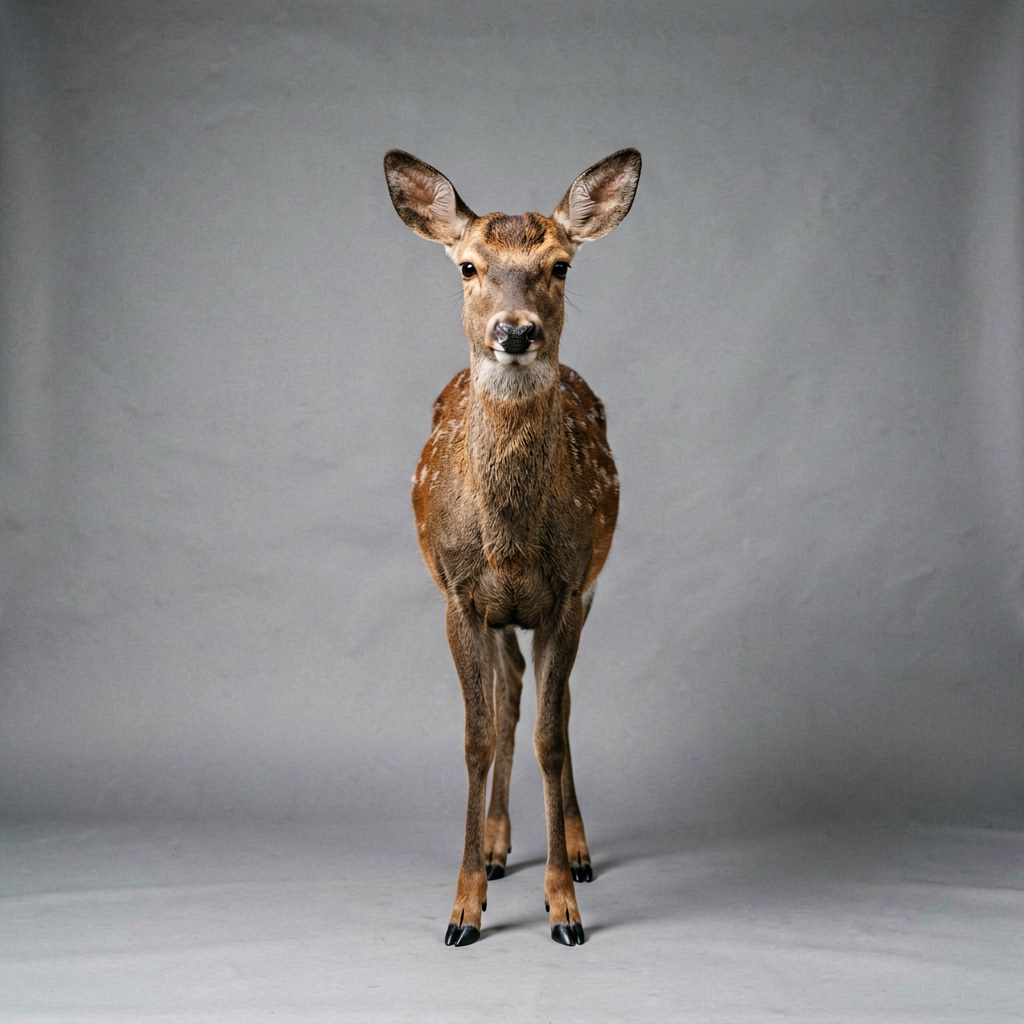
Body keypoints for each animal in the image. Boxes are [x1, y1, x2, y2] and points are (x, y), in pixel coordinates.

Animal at [384, 147, 641, 947]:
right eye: (468, 265)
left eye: (560, 264)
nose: (517, 331)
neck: (509, 543)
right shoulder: (459, 594)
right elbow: (478, 736)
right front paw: (464, 909)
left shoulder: (567, 589)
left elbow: (551, 740)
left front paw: (564, 908)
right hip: (497, 612)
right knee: (510, 698)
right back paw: (497, 850)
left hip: (589, 586)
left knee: (555, 704)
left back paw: (578, 850)